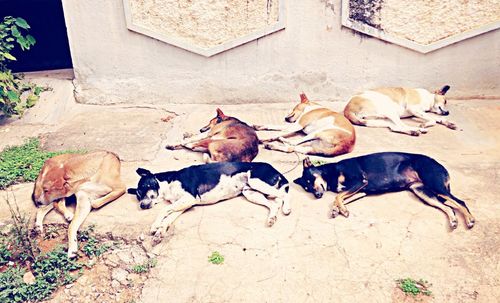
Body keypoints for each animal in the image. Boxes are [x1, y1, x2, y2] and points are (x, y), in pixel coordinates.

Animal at [127, 163, 292, 243]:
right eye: (138, 196)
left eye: (144, 187)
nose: (142, 206)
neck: (168, 183)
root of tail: (273, 168)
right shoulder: (183, 204)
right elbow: (168, 218)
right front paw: (160, 232)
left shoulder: (189, 198)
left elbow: (163, 210)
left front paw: (155, 226)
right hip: (250, 192)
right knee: (274, 203)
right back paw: (271, 218)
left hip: (256, 181)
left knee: (284, 194)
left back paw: (287, 208)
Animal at [294, 152, 474, 230]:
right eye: (307, 188)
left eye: (310, 181)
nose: (317, 196)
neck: (332, 171)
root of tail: (440, 165)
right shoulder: (361, 191)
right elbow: (340, 198)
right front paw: (336, 209)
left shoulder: (360, 181)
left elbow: (338, 196)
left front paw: (341, 210)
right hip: (424, 192)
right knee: (448, 207)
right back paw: (453, 221)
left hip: (435, 184)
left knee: (460, 202)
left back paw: (470, 220)